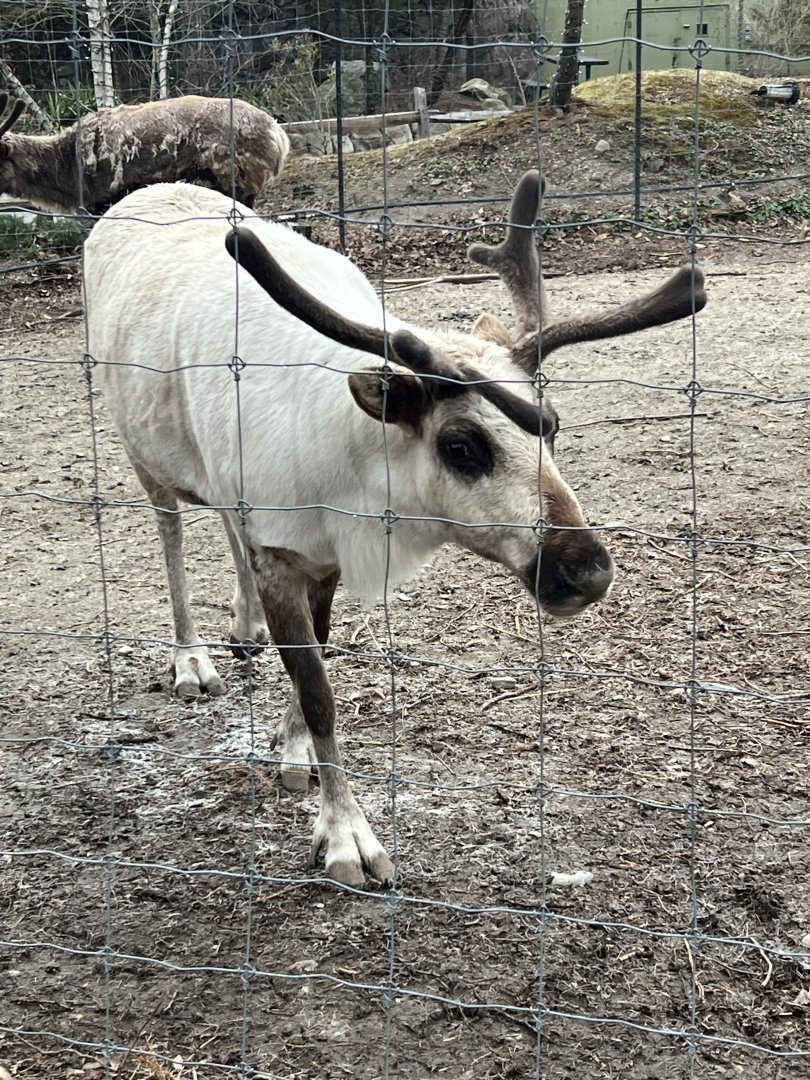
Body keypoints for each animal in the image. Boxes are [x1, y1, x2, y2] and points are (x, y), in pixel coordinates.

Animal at [82, 171, 706, 887]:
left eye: (550, 424)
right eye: (461, 445)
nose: (589, 572)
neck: (355, 469)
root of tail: (140, 194)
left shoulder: (317, 553)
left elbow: (317, 658)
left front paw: (292, 748)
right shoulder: (282, 550)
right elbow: (319, 690)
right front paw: (345, 834)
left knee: (224, 530)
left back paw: (245, 628)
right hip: (144, 455)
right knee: (172, 536)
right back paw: (191, 659)